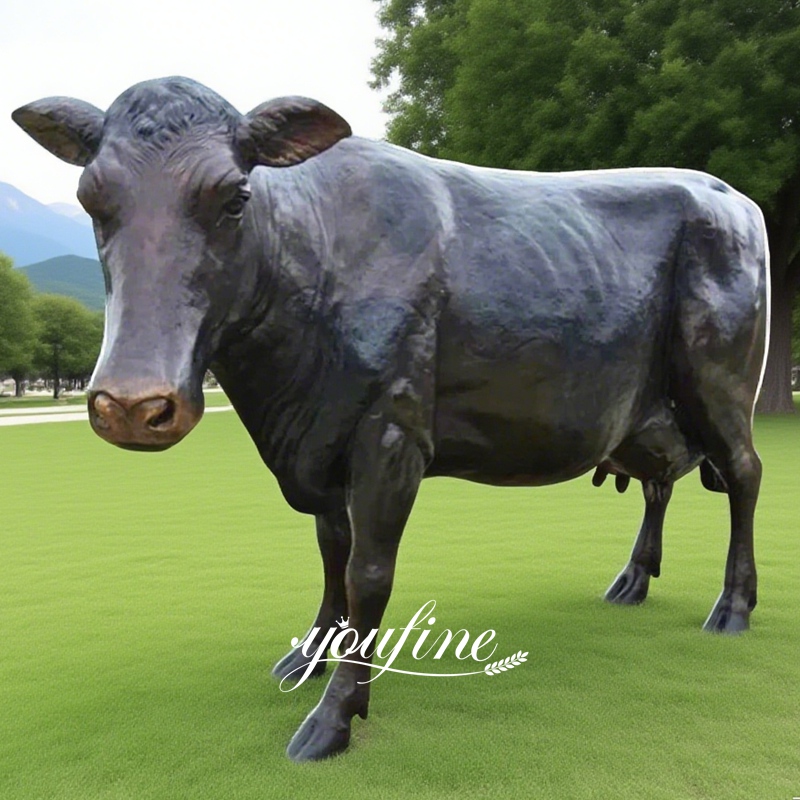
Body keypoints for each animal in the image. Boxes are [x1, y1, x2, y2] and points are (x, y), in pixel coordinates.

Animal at [12, 76, 769, 762]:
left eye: (234, 197)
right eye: (90, 200)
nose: (132, 405)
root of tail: (729, 195)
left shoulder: (390, 436)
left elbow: (369, 573)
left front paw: (336, 717)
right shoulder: (322, 446)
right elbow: (331, 557)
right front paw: (312, 658)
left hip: (719, 380)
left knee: (743, 474)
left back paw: (732, 608)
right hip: (651, 411)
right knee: (659, 482)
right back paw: (634, 581)